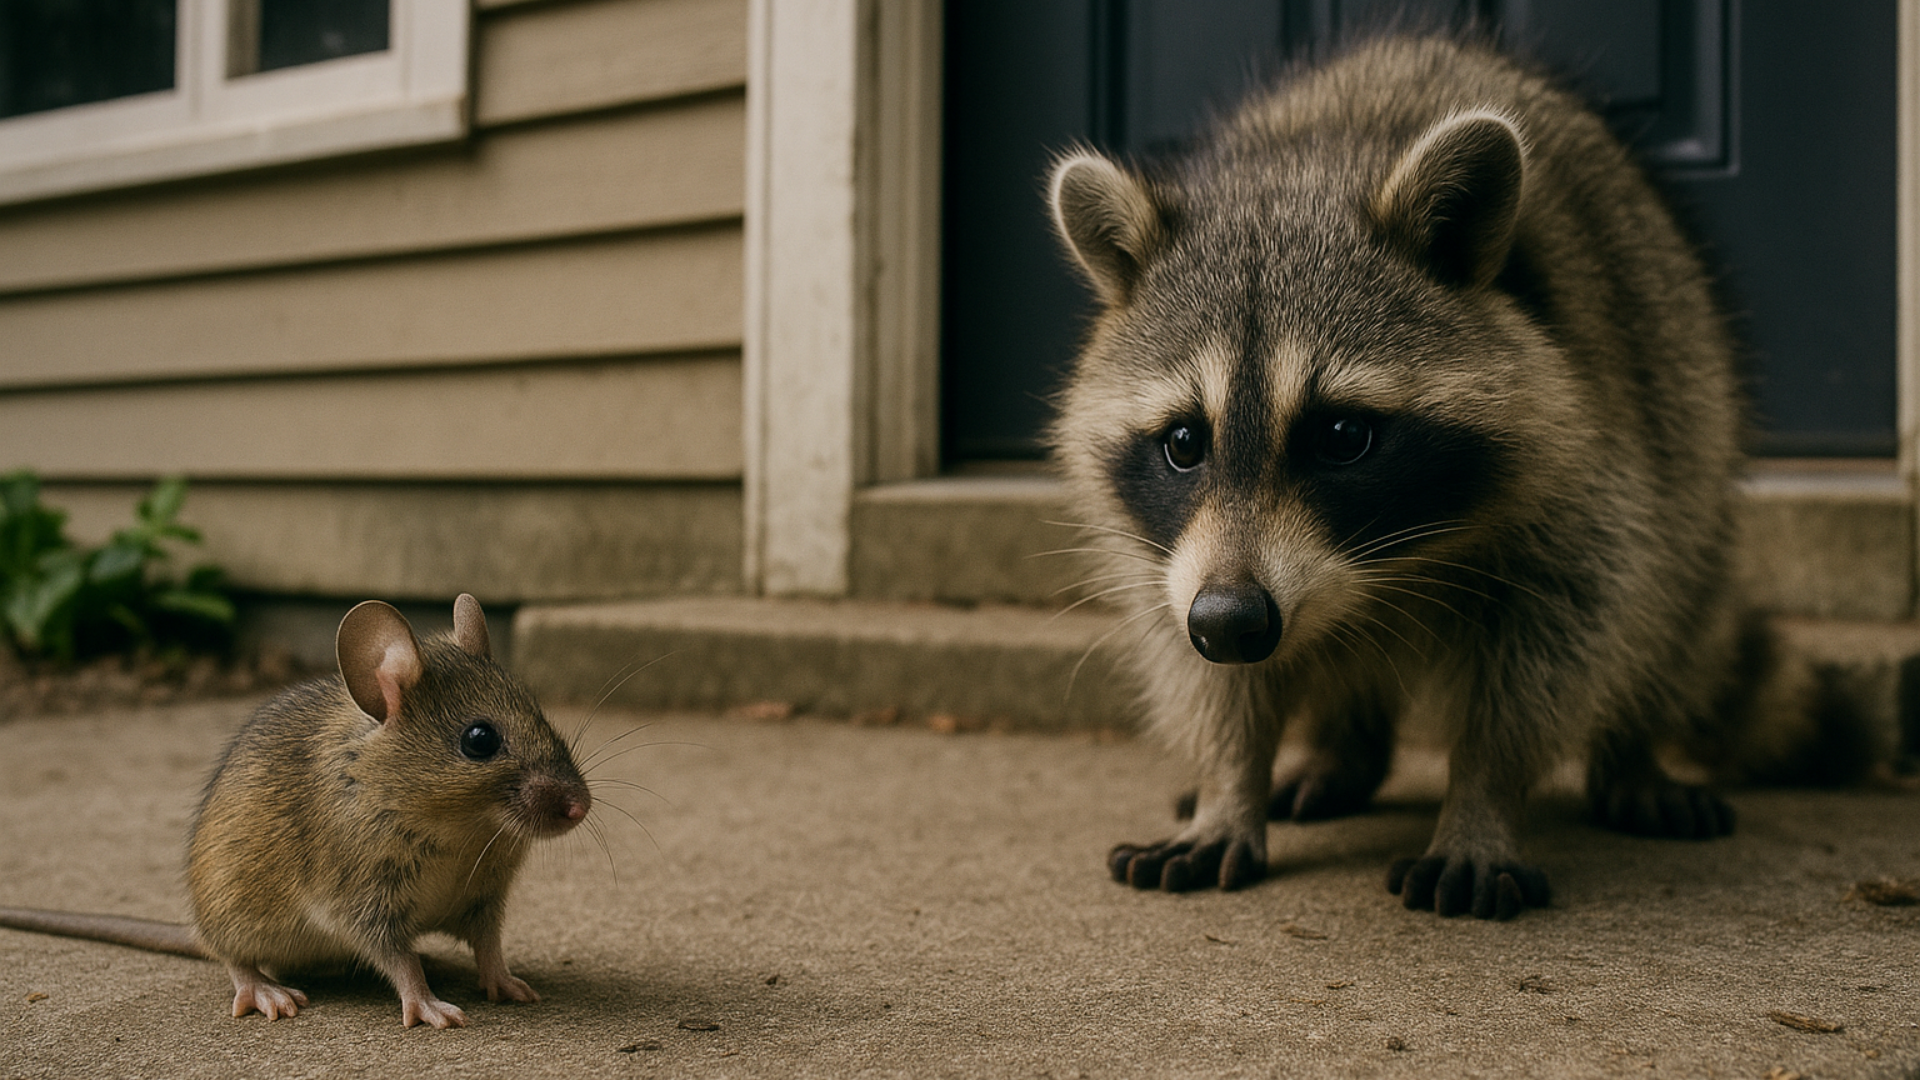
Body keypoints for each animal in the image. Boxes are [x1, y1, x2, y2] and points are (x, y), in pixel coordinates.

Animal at [1047, 35, 1748, 919]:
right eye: (1182, 442)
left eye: (1343, 436)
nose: (1231, 623)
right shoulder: (1168, 559)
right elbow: (1204, 672)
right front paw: (1228, 783)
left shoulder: (1591, 477)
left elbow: (1558, 647)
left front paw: (1482, 799)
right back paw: (1337, 751)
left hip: (1687, 420)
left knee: (1668, 608)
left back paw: (1633, 753)